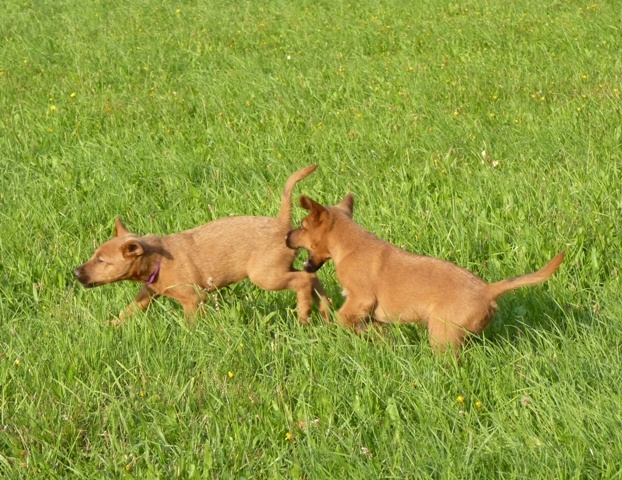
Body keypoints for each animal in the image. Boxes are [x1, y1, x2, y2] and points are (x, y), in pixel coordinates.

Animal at [74, 165, 330, 325]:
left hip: (266, 275)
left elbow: (190, 322)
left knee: (303, 281)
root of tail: (281, 223)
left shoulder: (193, 298)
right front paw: (110, 324)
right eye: (94, 255)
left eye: (102, 261)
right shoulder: (148, 292)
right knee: (312, 278)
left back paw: (304, 315)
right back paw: (325, 311)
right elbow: (129, 310)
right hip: (279, 268)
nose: (75, 272)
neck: (157, 260)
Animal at [286, 193, 564, 352]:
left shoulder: (360, 299)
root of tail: (487, 290)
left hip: (441, 335)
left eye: (302, 226)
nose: (287, 236)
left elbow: (343, 318)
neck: (349, 243)